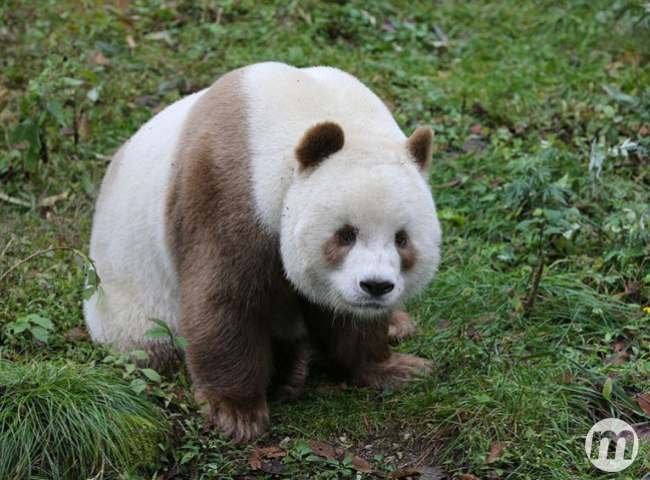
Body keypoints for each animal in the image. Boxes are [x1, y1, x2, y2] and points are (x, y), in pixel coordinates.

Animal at [84, 62, 442, 442]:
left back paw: (395, 325)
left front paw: (397, 367)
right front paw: (237, 413)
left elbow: (349, 321)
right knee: (150, 343)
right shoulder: (226, 189)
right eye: (345, 234)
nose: (376, 286)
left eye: (401, 239)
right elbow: (227, 299)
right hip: (131, 303)